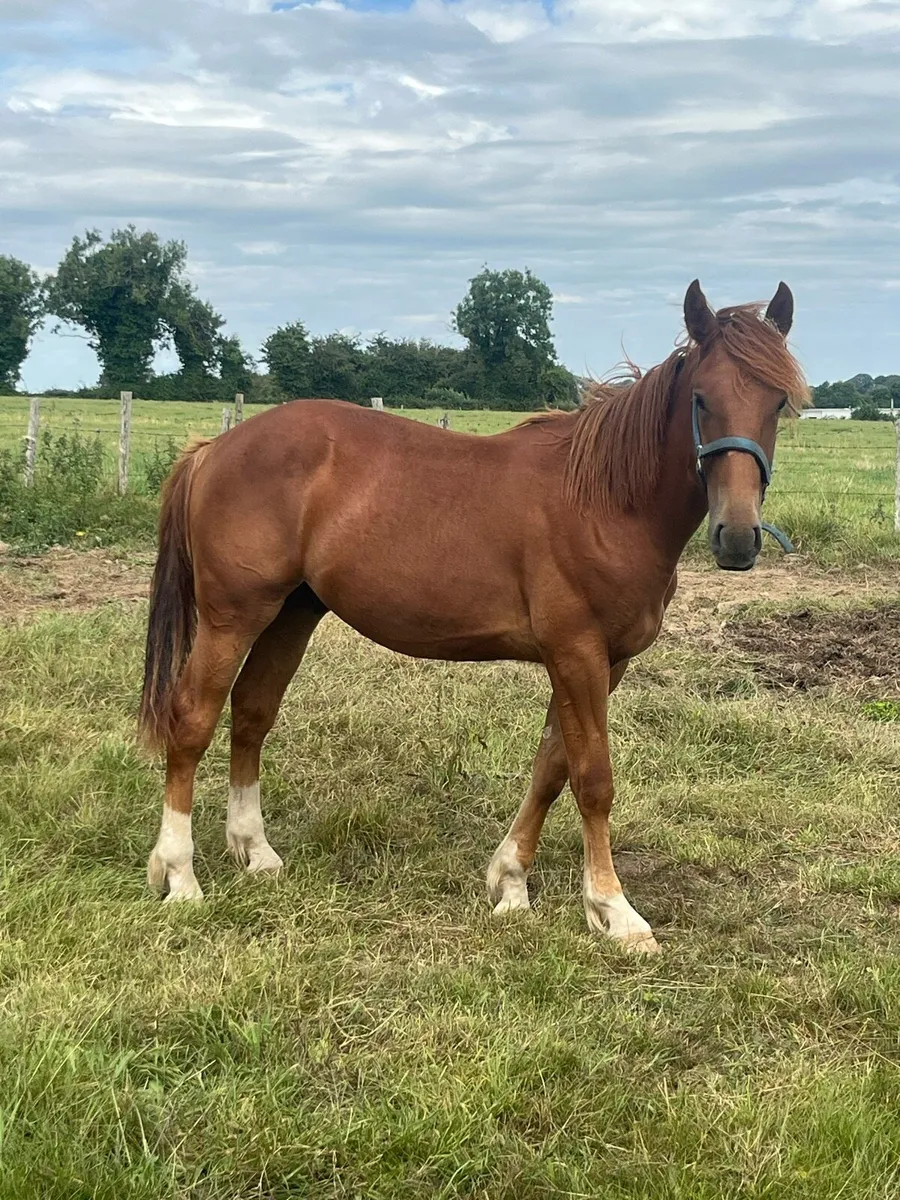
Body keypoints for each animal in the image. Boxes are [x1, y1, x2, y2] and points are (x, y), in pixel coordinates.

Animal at [139, 280, 807, 953]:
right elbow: (593, 778)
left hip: (291, 612)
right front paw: (612, 907)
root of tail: (215, 449)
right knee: (192, 719)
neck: (606, 502)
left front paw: (510, 881)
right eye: (701, 398)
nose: (738, 538)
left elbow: (550, 767)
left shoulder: (603, 662)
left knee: (252, 714)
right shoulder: (577, 653)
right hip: (232, 617)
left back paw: (254, 850)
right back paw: (179, 875)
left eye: (778, 402)